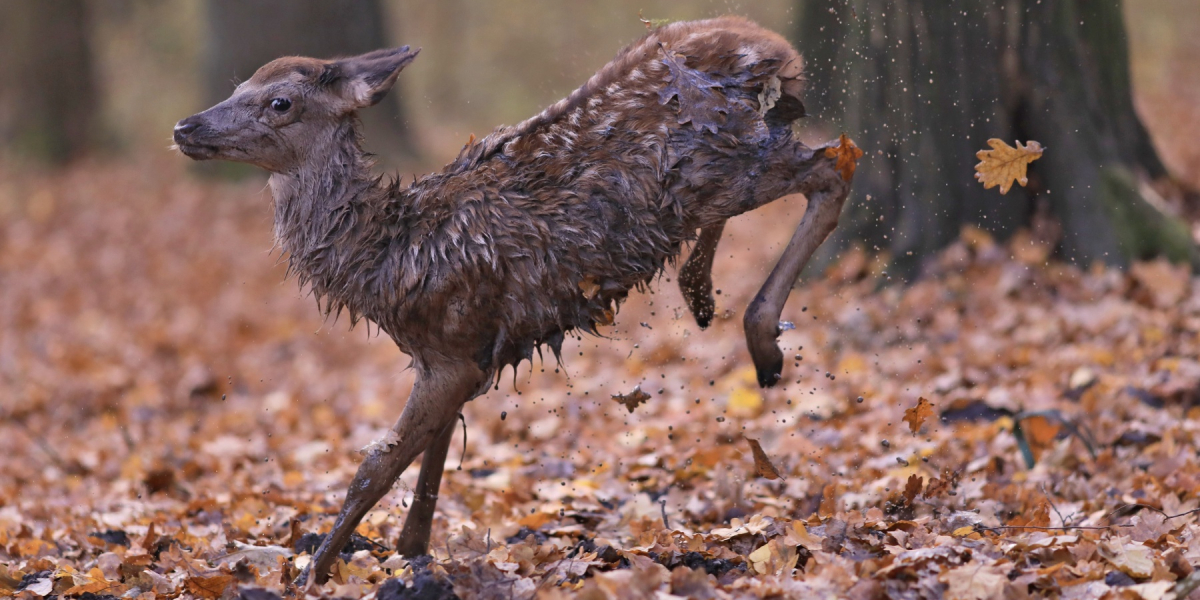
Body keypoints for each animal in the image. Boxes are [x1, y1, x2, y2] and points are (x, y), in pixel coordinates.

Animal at [174, 15, 859, 585]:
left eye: (280, 101)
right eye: (237, 85)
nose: (185, 126)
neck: (389, 260)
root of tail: (777, 46)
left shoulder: (449, 349)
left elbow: (376, 465)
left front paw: (312, 574)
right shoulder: (468, 352)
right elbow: (431, 463)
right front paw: (410, 553)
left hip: (728, 164)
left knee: (833, 165)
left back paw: (762, 339)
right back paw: (700, 291)